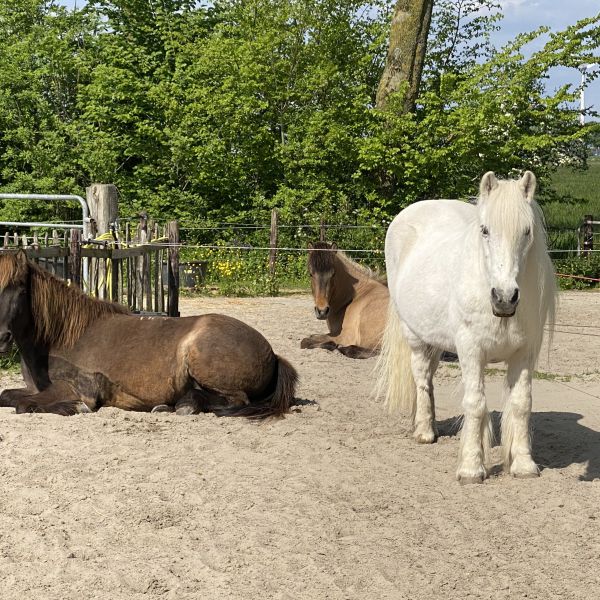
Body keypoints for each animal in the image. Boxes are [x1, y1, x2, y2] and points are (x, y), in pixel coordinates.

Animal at [0, 252, 298, 418]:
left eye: (21, 289)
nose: (2, 337)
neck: (63, 338)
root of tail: (272, 354)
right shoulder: (34, 387)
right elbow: (7, 395)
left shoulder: (76, 388)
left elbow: (24, 405)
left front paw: (74, 408)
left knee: (237, 400)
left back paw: (184, 406)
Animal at [380, 171, 556, 486]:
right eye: (485, 230)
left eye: (527, 231)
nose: (504, 297)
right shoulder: (471, 350)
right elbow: (475, 403)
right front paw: (472, 469)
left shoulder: (524, 354)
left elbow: (521, 404)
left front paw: (523, 465)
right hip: (414, 335)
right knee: (421, 377)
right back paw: (424, 431)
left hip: (436, 339)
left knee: (430, 376)